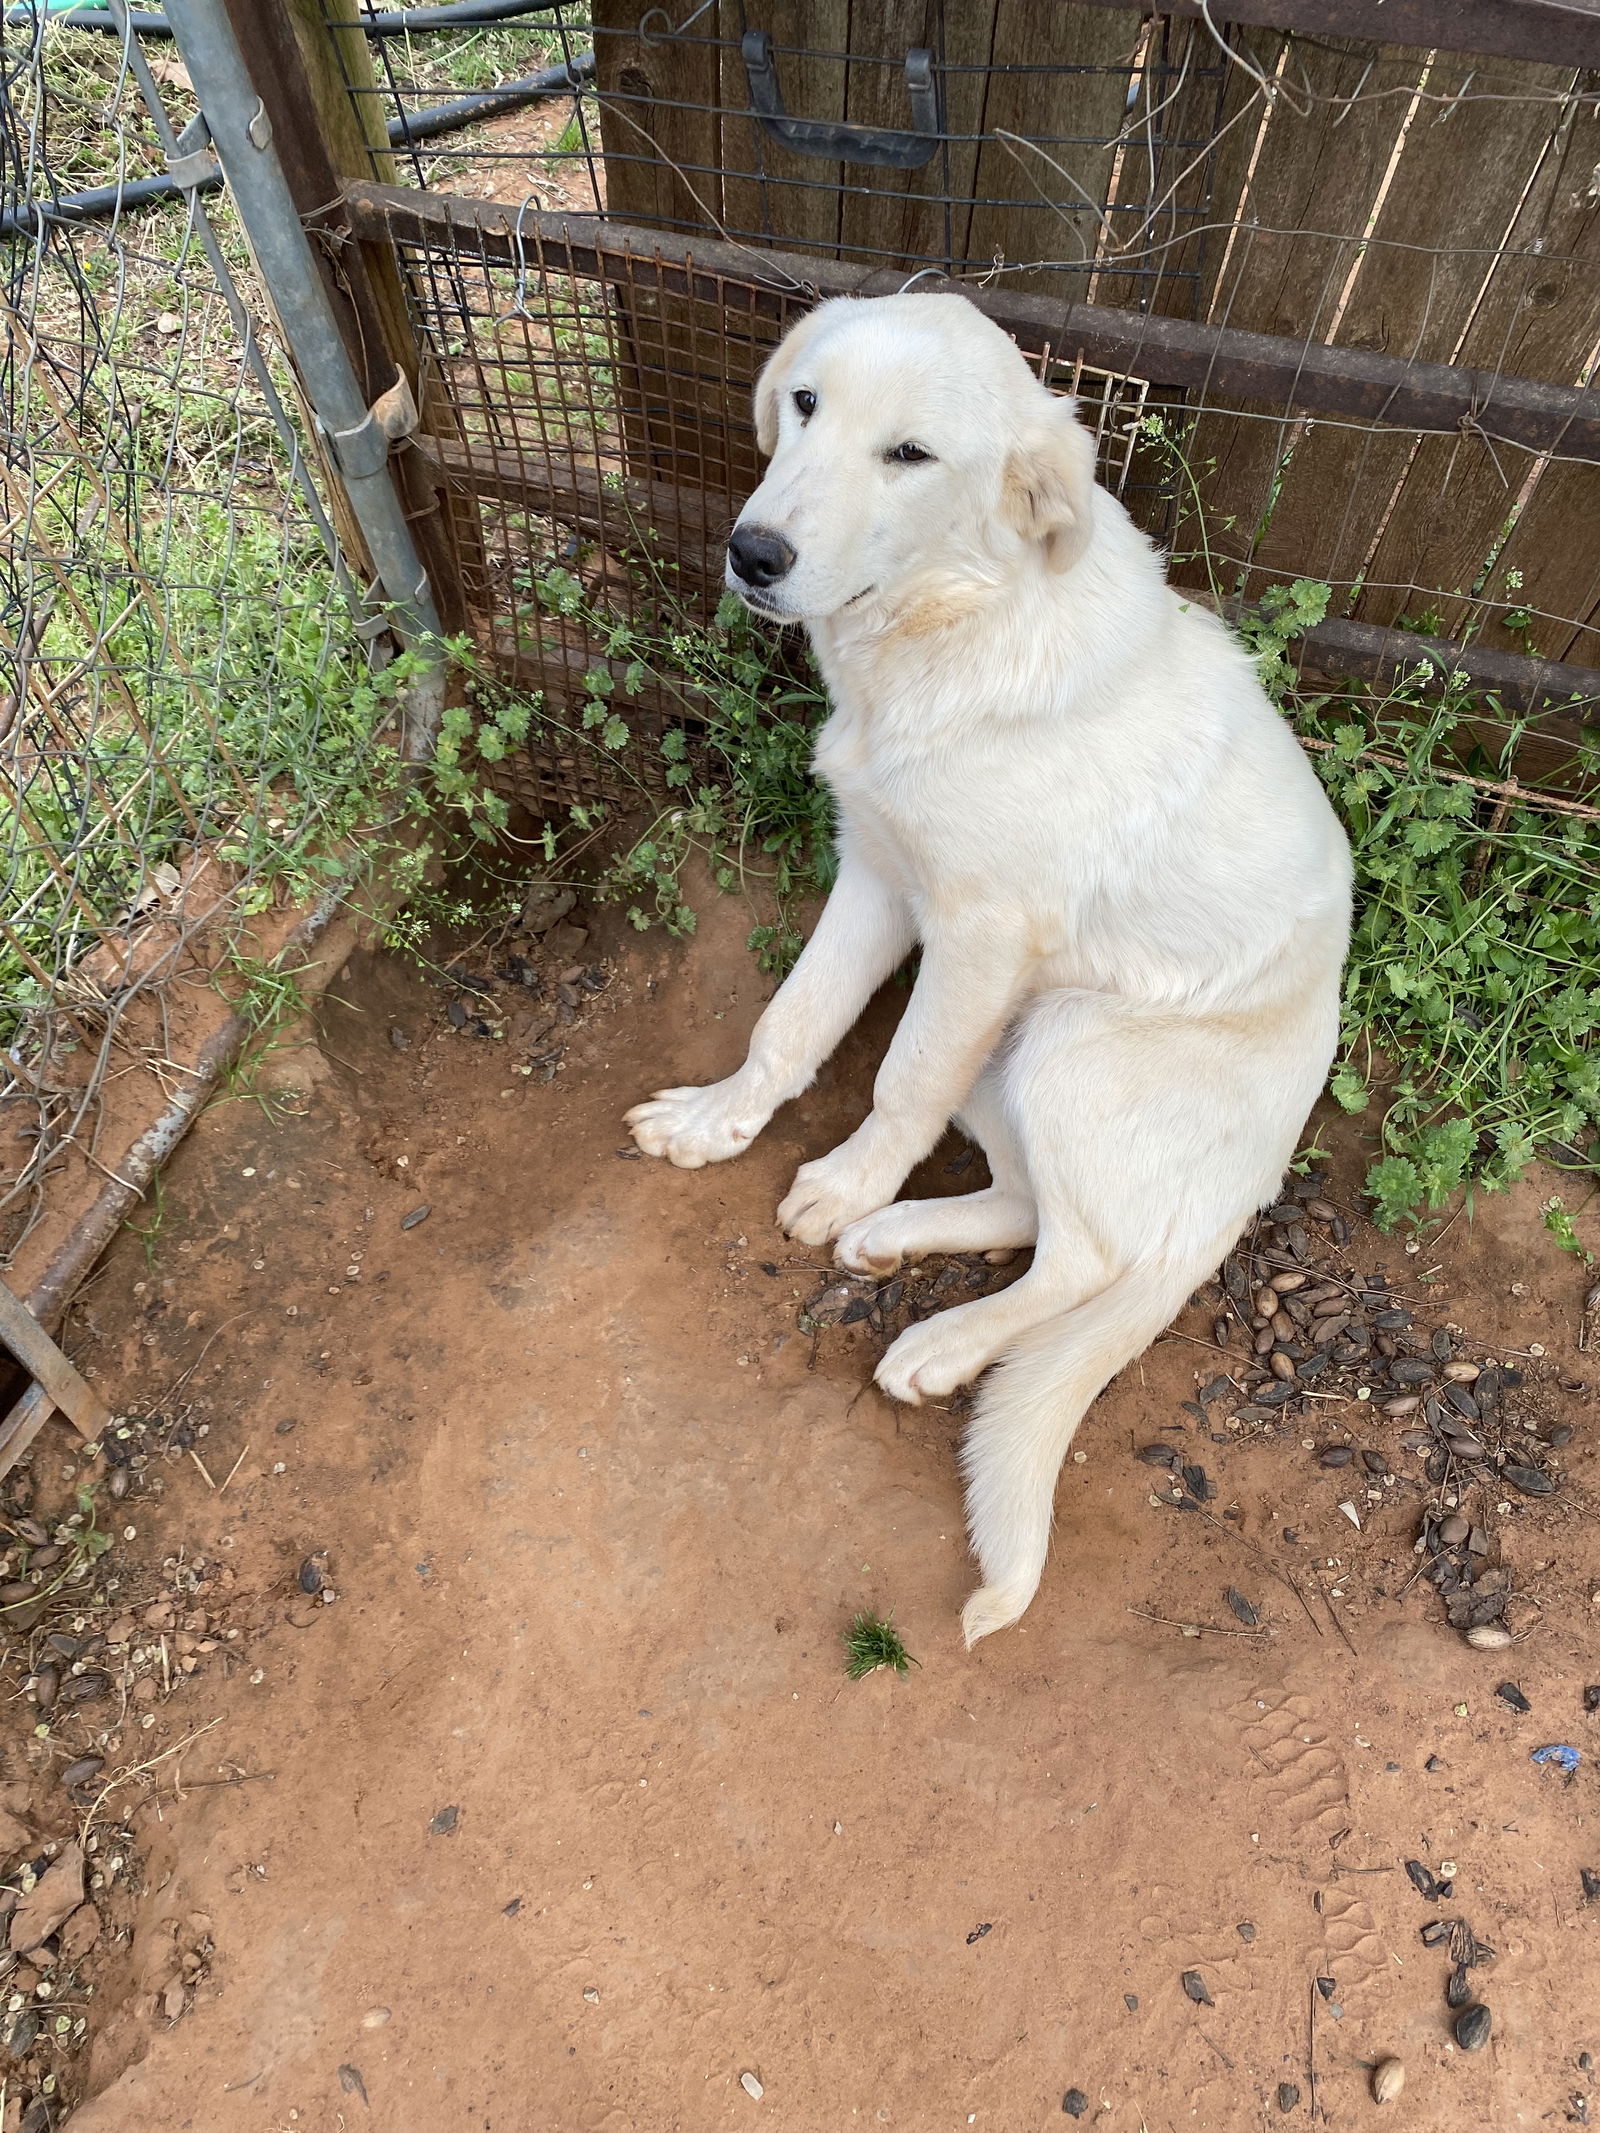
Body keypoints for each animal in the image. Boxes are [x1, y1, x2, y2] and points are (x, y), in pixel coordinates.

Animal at [627, 292, 1356, 1638]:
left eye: (910, 455)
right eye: (804, 403)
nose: (753, 553)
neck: (953, 625)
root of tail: (1242, 1194)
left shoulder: (974, 932)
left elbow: (893, 1082)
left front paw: (843, 1182)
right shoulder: (875, 869)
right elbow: (791, 1023)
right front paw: (718, 1123)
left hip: (1065, 1037)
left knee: (1083, 1261)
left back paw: (946, 1341)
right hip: (1009, 1053)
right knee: (1026, 1205)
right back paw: (902, 1243)